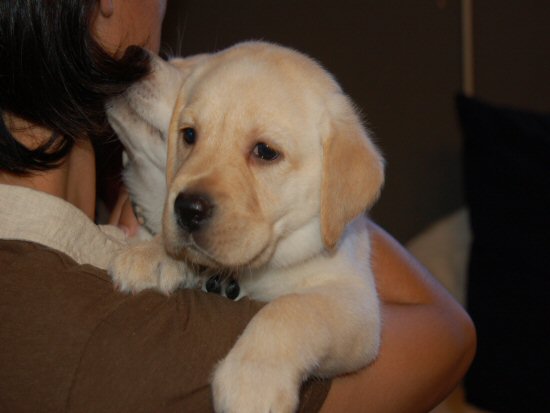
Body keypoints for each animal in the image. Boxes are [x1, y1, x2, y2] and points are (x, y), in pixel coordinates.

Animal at [106, 41, 384, 412]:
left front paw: (252, 382)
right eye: (189, 135)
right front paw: (152, 254)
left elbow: (292, 308)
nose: (188, 210)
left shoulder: (356, 302)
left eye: (265, 151)